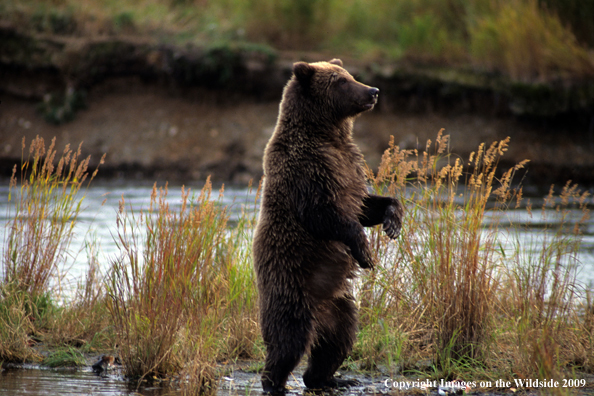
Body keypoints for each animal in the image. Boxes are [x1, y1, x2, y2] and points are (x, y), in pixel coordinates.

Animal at [252, 58, 404, 392]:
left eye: (350, 76)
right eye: (340, 82)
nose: (373, 90)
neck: (326, 135)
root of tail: (319, 312)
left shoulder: (349, 167)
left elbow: (364, 205)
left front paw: (393, 220)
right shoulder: (306, 170)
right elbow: (324, 215)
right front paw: (365, 253)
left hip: (342, 305)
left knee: (337, 341)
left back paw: (332, 378)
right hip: (290, 286)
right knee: (288, 339)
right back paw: (274, 382)